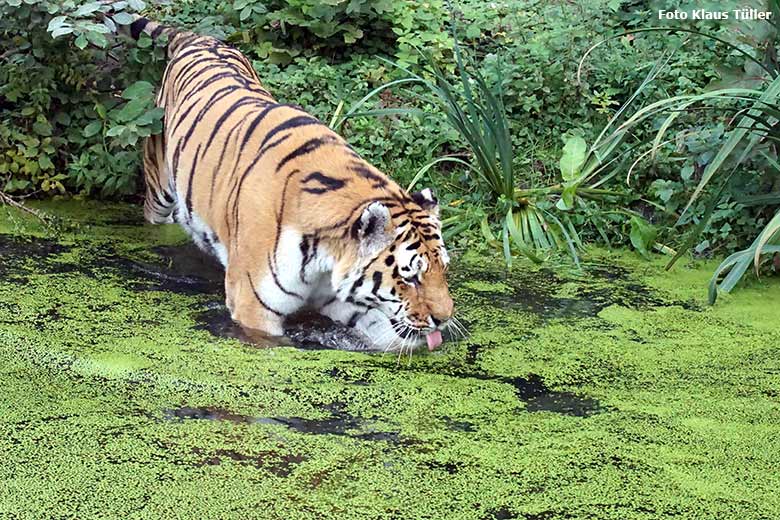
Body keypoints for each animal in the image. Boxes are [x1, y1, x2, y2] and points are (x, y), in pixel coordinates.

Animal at [122, 14, 454, 352]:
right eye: (410, 278)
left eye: (444, 268)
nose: (444, 319)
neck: (326, 259)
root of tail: (203, 39)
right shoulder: (254, 309)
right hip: (159, 186)